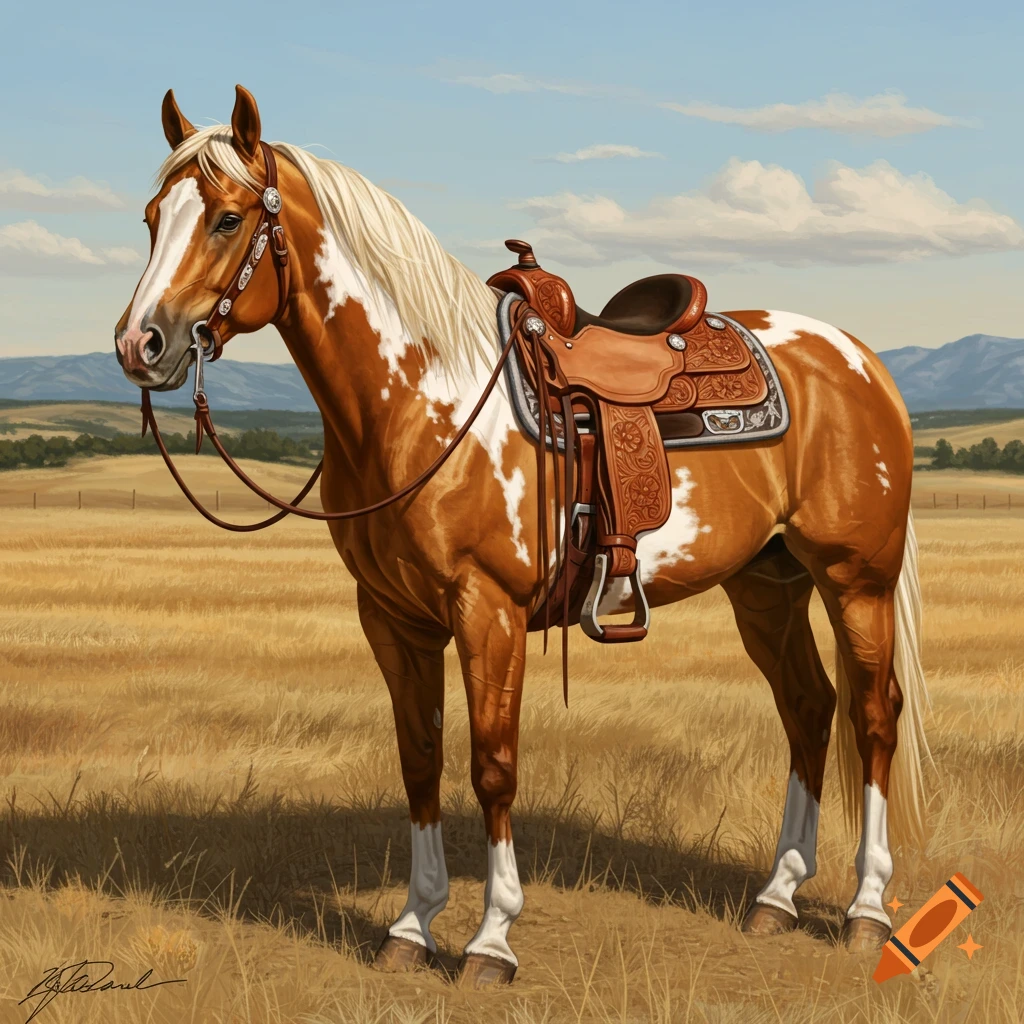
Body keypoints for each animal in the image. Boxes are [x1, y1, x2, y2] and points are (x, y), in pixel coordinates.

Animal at [114, 85, 929, 988]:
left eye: (226, 219)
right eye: (152, 217)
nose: (140, 343)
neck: (423, 397)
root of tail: (858, 358)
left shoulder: (489, 611)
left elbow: (492, 766)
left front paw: (491, 941)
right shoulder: (393, 619)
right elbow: (421, 760)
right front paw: (411, 928)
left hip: (855, 578)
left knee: (873, 714)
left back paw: (865, 911)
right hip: (766, 584)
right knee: (807, 707)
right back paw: (776, 898)